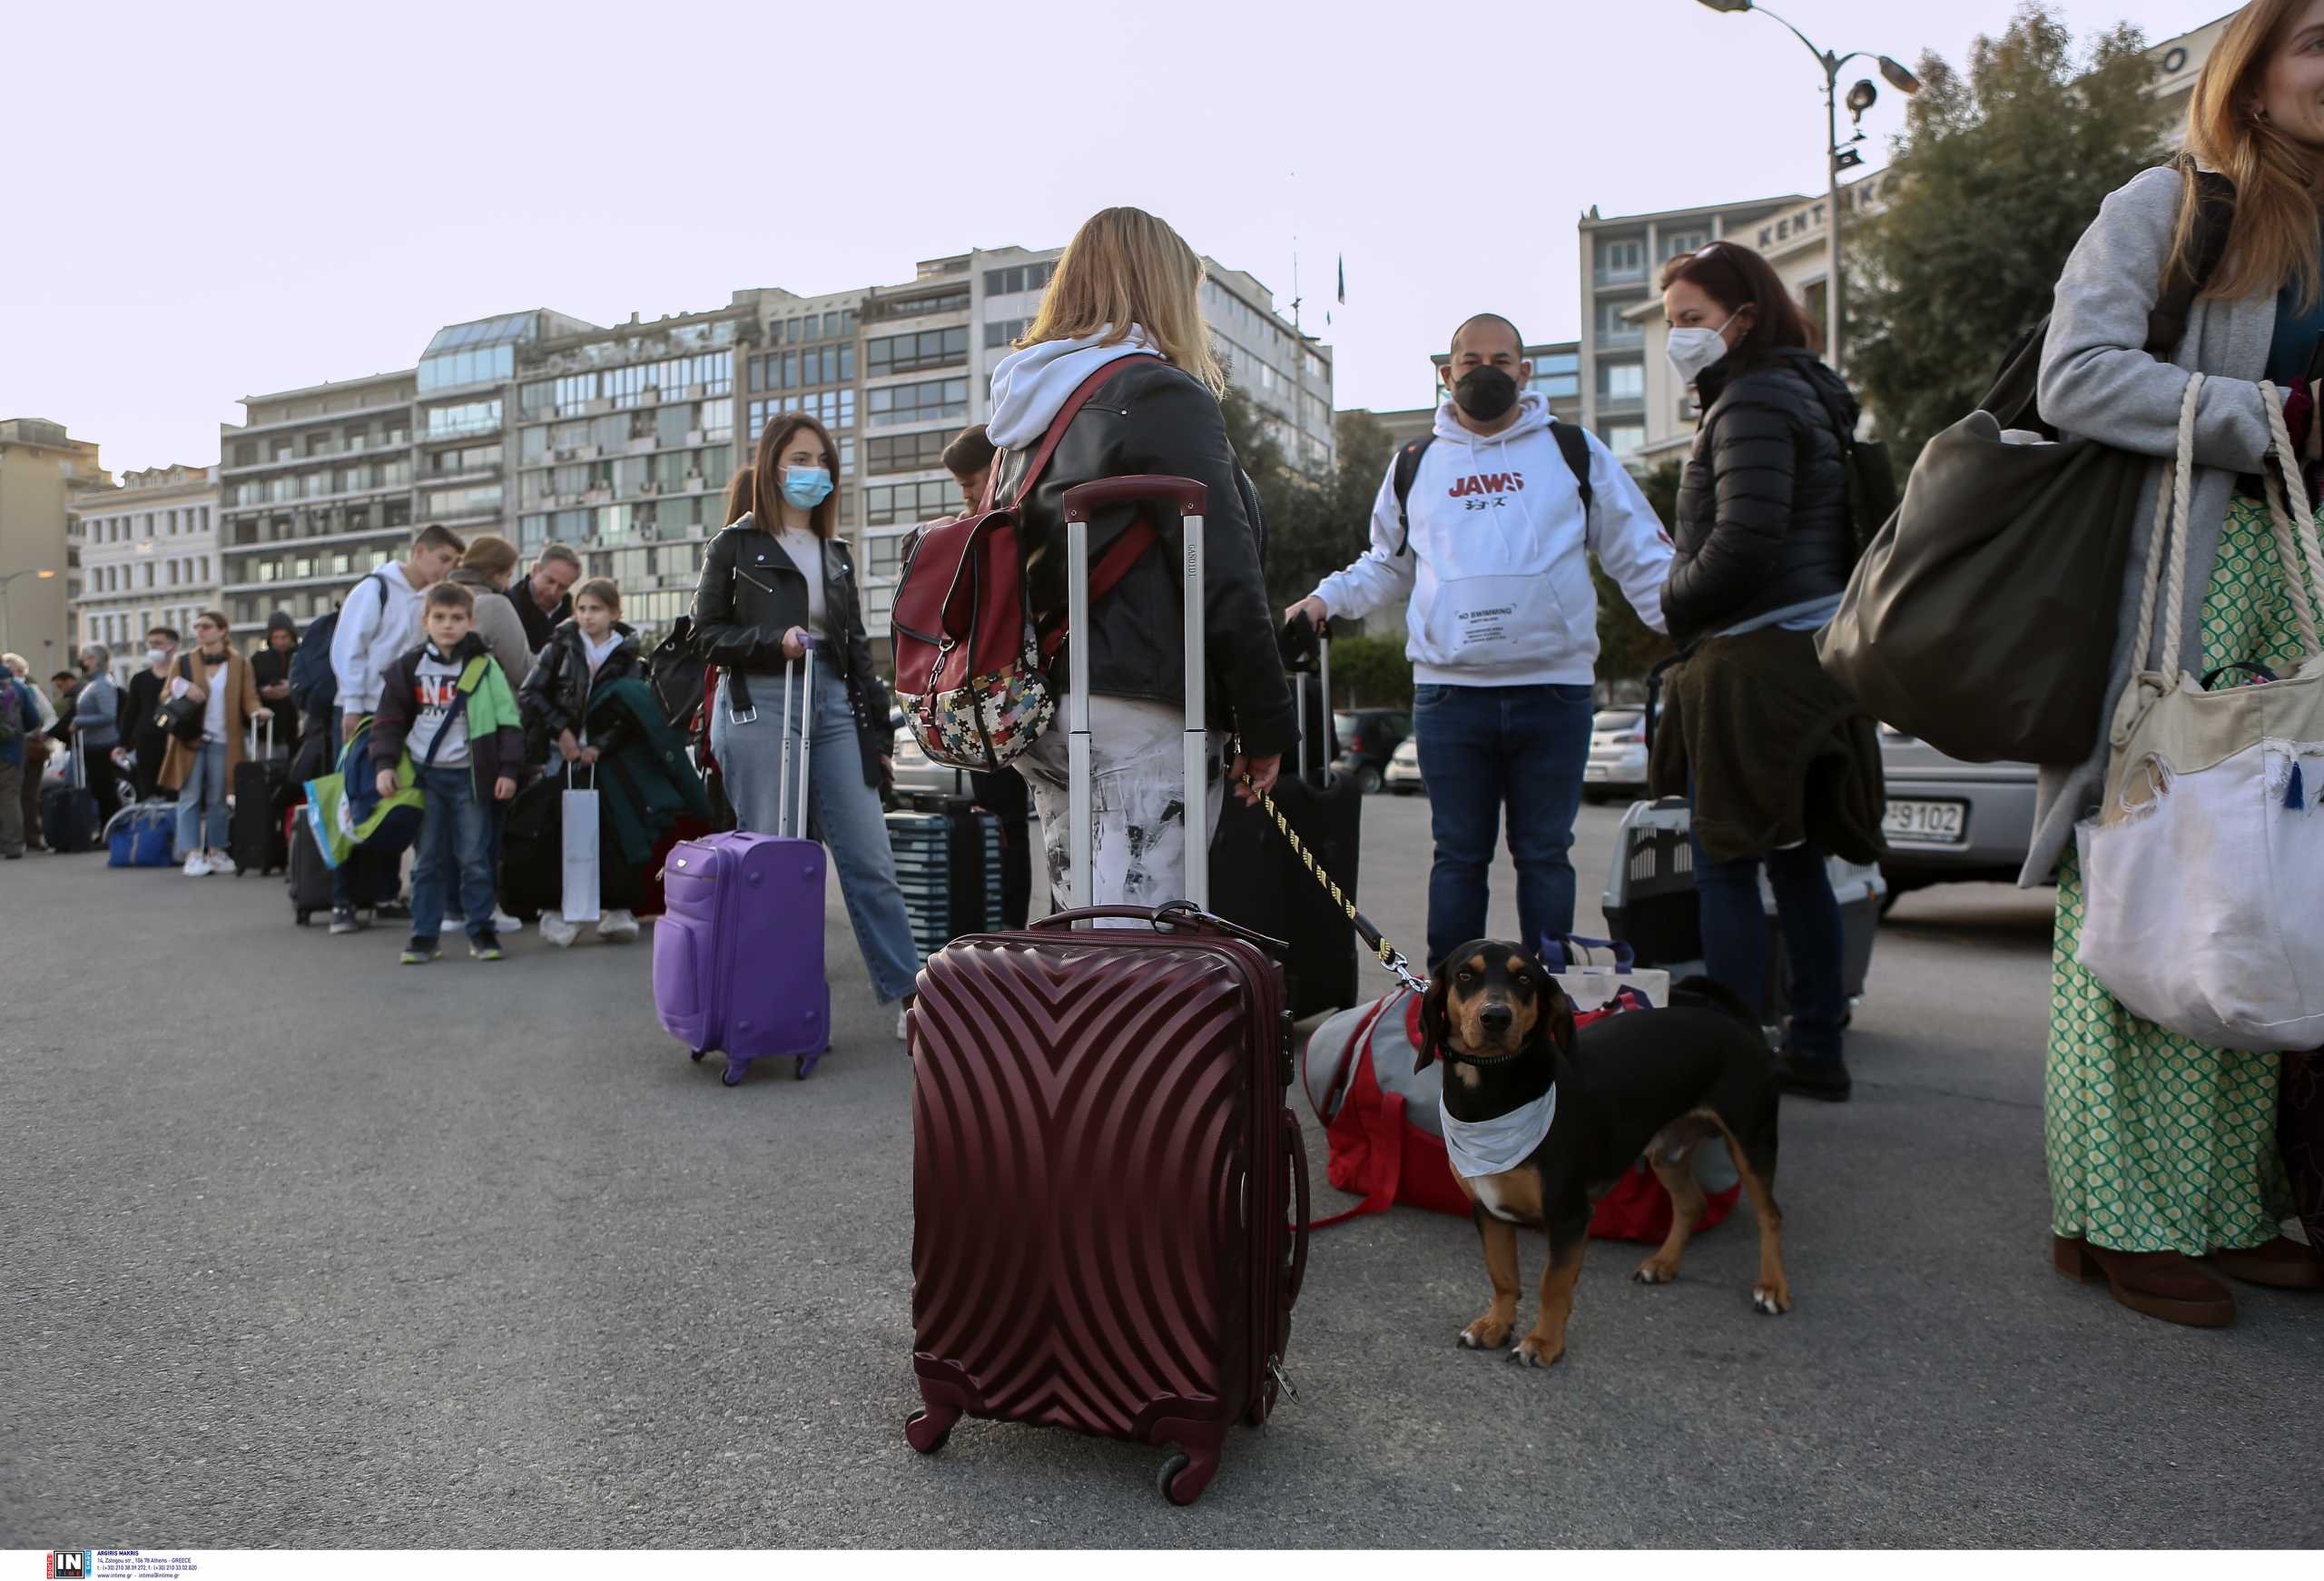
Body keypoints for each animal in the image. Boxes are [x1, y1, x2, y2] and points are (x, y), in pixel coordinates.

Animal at [1403, 939, 1785, 1367]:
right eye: (1465, 975)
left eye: (1525, 978)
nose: (1496, 1017)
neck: (1492, 1094)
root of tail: (1740, 1026)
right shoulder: (1488, 1210)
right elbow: (1502, 1275)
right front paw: (1495, 1326)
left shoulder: (1569, 1215)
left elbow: (1553, 1284)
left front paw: (1544, 1343)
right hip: (1668, 1151)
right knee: (1692, 1203)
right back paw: (1664, 1264)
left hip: (1752, 1141)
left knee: (1770, 1215)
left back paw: (1772, 1288)